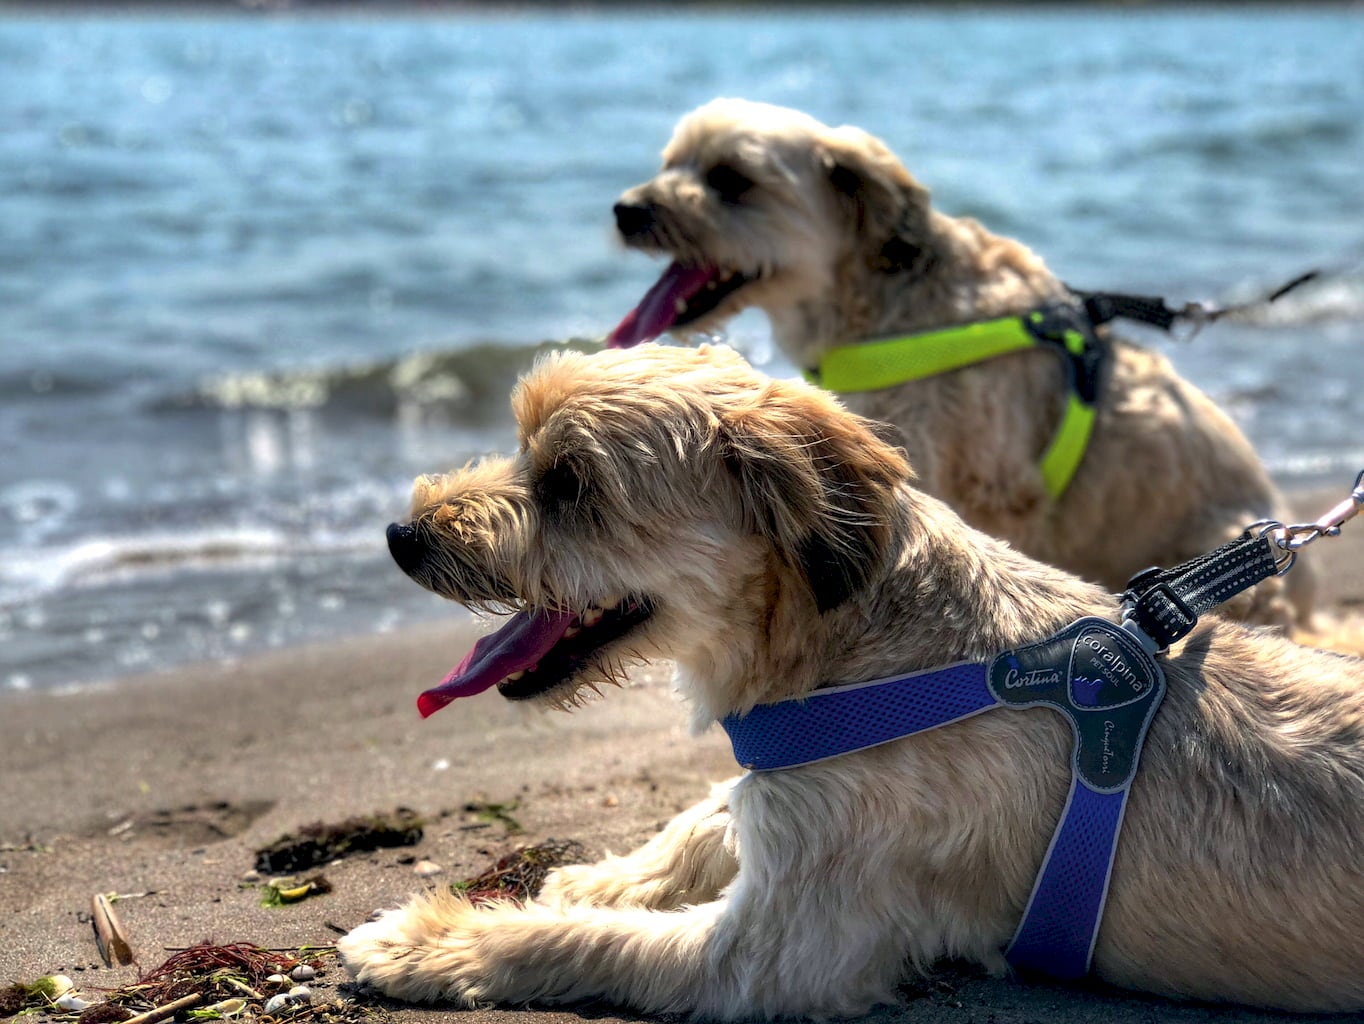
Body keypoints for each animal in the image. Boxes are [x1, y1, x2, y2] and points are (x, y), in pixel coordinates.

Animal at [340, 343, 1364, 1017]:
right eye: (525, 451)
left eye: (569, 484)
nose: (402, 535)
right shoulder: (792, 805)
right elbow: (700, 818)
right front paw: (600, 878)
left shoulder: (777, 949)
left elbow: (584, 940)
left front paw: (436, 941)